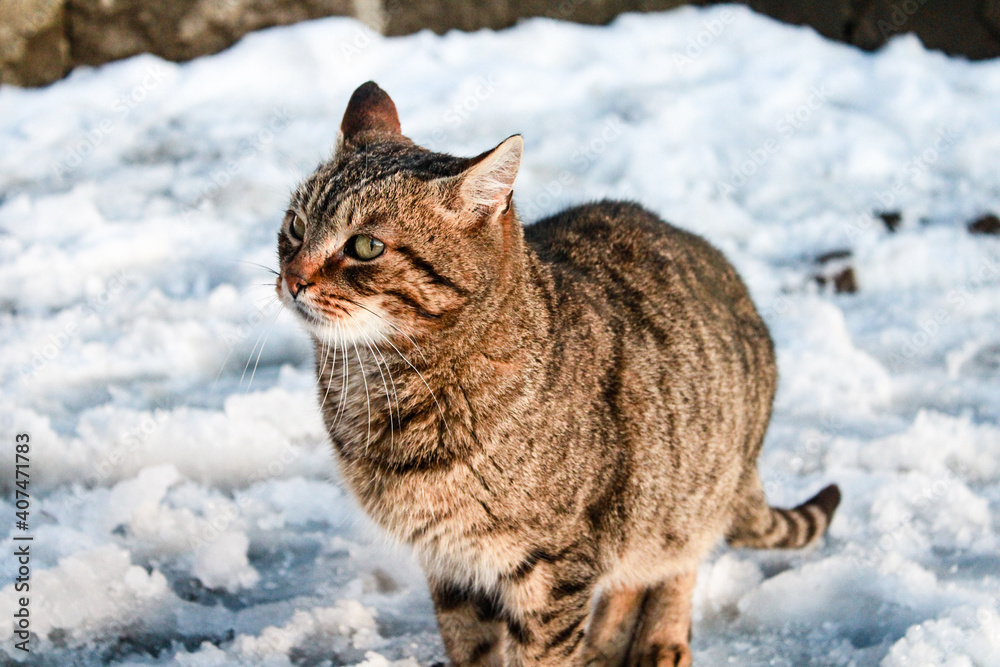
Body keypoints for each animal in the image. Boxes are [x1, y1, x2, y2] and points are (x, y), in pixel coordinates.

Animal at [278, 82, 840, 667]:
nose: (291, 279)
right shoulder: (451, 564)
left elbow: (542, 654)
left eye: (366, 246)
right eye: (295, 226)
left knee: (678, 559)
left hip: (691, 485)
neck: (375, 379)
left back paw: (660, 640)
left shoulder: (552, 564)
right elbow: (471, 648)